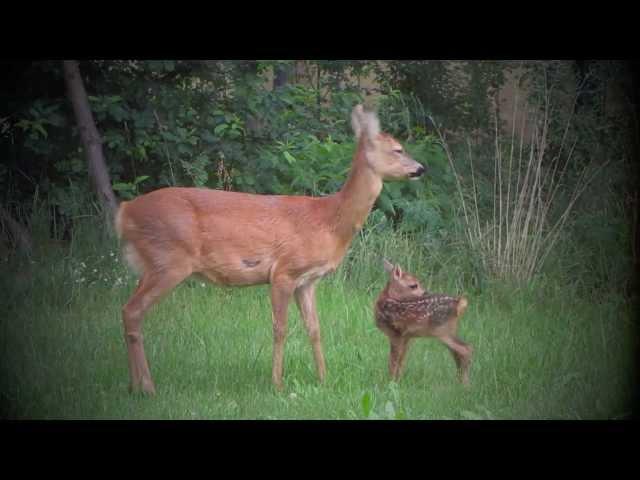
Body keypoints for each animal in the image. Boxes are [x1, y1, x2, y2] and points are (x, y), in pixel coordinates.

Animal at [115, 105, 424, 394]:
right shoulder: (284, 271)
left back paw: (133, 385)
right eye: (398, 149)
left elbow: (315, 329)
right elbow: (280, 329)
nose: (421, 169)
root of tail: (124, 212)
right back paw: (147, 387)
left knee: (129, 310)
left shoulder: (307, 281)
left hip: (150, 265)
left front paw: (323, 379)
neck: (328, 221)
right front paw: (277, 384)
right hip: (168, 260)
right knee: (133, 310)